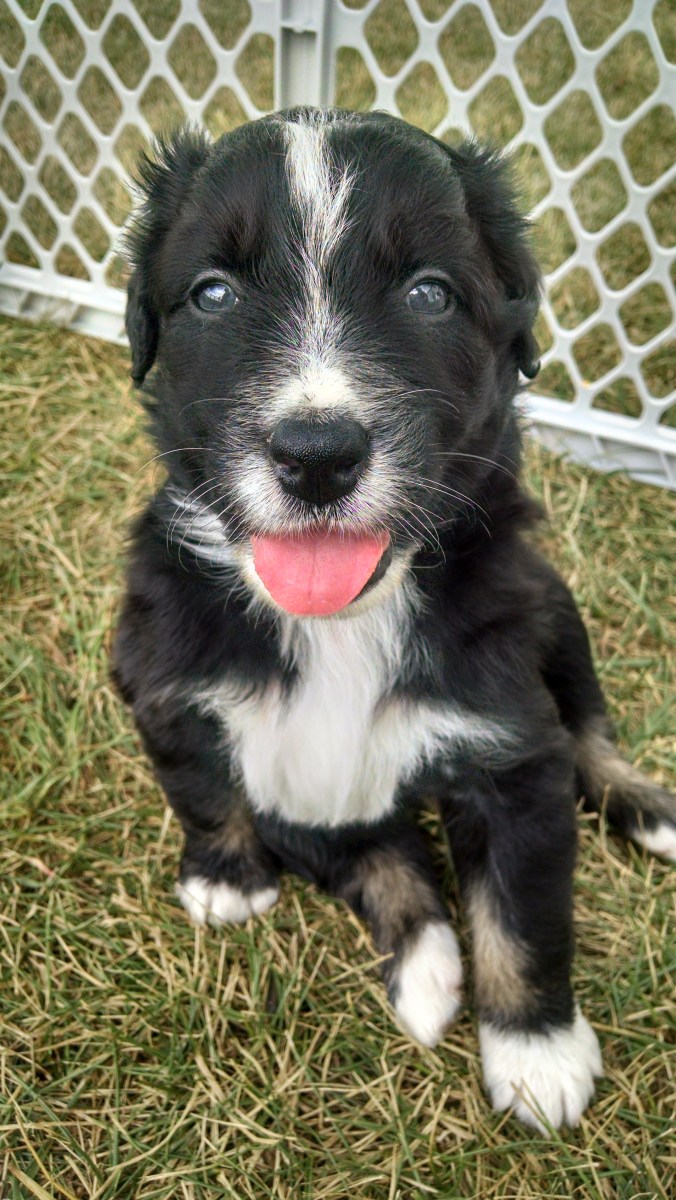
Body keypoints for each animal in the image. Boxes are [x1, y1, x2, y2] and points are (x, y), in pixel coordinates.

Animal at [113, 107, 675, 1132]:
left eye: (428, 294)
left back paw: (651, 810)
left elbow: (522, 910)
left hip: (554, 605)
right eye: (212, 293)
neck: (343, 624)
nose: (316, 454)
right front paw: (232, 882)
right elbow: (213, 785)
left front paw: (536, 1052)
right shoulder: (185, 691)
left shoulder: (510, 752)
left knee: (590, 729)